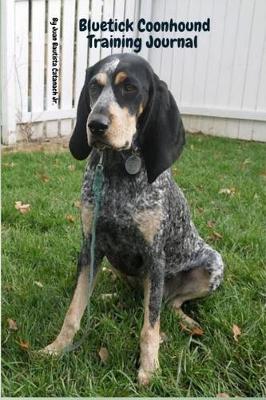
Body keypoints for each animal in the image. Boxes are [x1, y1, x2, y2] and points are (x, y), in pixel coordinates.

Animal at [43, 52, 224, 384]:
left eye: (130, 88)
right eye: (94, 86)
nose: (95, 124)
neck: (118, 168)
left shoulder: (155, 257)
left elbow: (149, 328)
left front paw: (149, 369)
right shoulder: (89, 247)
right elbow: (74, 311)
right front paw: (56, 348)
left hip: (212, 265)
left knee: (167, 303)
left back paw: (185, 320)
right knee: (135, 293)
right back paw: (108, 295)